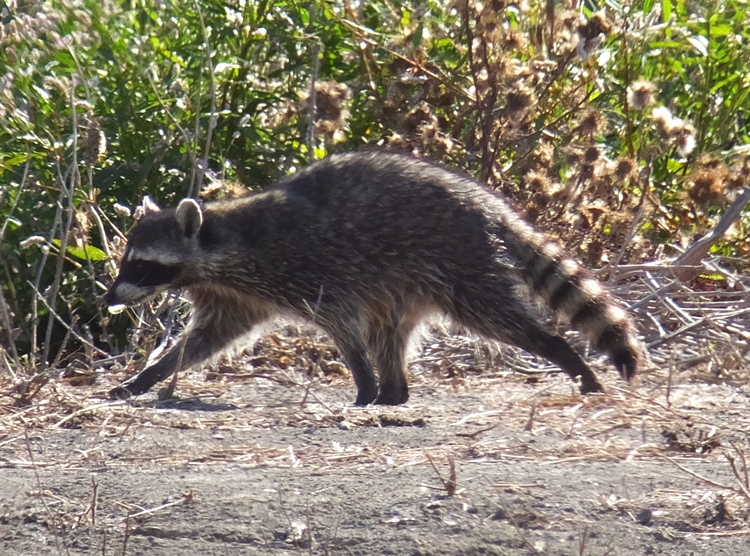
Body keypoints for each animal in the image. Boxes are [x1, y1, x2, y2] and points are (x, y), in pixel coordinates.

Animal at [106, 152, 644, 404]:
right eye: (125, 262)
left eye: (141, 265)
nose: (111, 298)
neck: (217, 241)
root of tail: (487, 205)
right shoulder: (234, 296)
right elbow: (204, 341)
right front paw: (147, 376)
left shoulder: (303, 269)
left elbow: (342, 326)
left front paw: (360, 379)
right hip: (407, 282)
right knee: (392, 330)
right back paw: (394, 391)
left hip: (460, 264)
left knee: (500, 319)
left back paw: (563, 354)